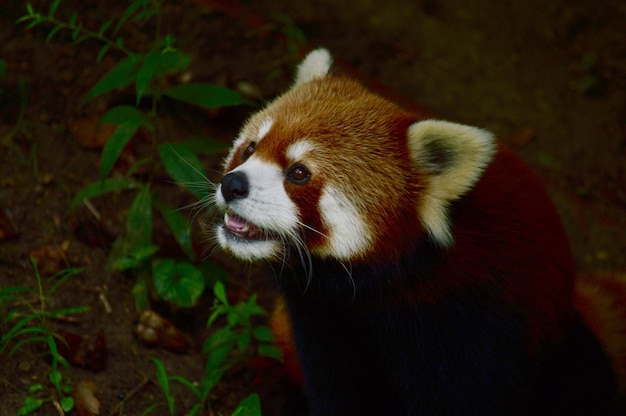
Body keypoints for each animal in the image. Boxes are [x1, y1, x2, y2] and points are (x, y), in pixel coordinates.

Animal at [213, 49, 620, 416]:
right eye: (250, 148)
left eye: (298, 173)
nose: (232, 185)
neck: (378, 293)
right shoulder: (323, 324)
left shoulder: (475, 323)